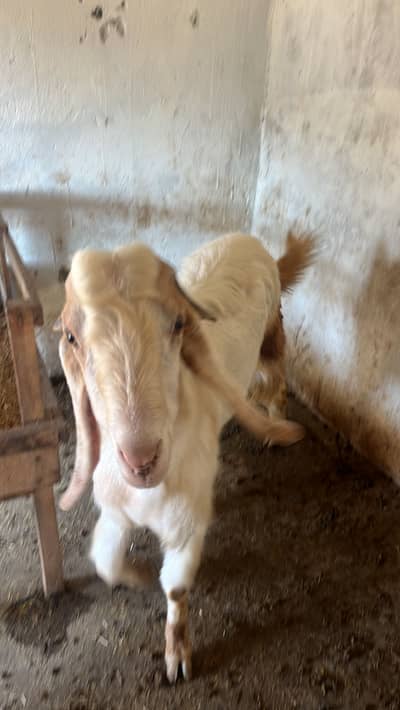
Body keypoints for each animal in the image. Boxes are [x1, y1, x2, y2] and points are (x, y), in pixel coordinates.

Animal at [55, 231, 314, 682]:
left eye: (178, 324)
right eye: (71, 336)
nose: (140, 459)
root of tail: (247, 239)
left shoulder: (185, 523)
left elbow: (175, 587)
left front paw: (177, 656)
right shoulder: (115, 511)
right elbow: (105, 561)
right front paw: (136, 576)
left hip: (272, 334)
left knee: (276, 383)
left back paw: (277, 424)